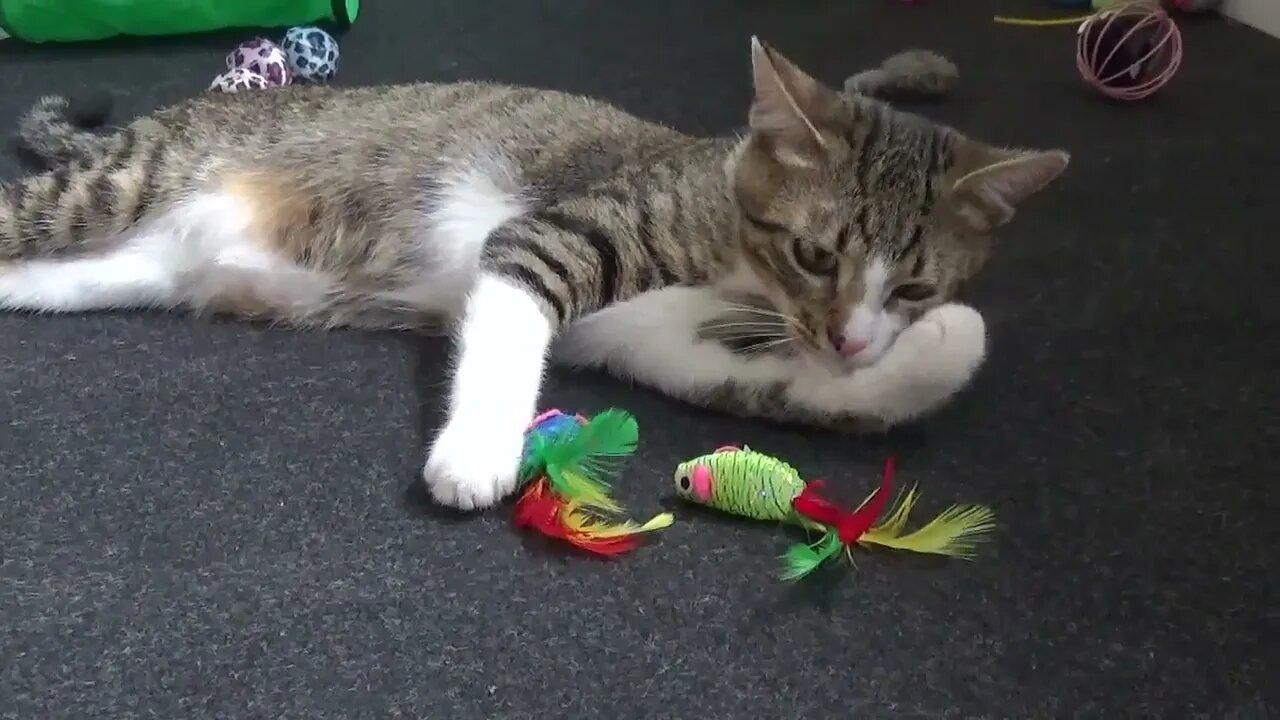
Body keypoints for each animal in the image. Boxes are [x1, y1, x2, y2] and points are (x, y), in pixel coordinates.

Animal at [0, 40, 1070, 509]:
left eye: (914, 286)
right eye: (816, 253)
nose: (850, 335)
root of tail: (179, 112)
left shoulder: (678, 342)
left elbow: (787, 379)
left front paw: (930, 345)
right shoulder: (547, 237)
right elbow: (512, 326)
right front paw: (478, 453)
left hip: (138, 267)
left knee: (55, 276)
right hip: (115, 187)